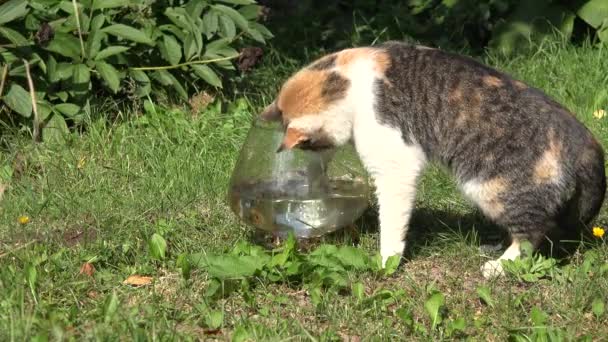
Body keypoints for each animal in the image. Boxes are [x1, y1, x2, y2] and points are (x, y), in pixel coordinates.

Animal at [258, 41, 604, 280]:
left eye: (309, 146)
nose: (310, 163)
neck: (349, 79)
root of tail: (583, 138)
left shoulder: (395, 163)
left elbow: (391, 223)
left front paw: (387, 261)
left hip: (492, 186)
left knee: (535, 231)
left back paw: (499, 266)